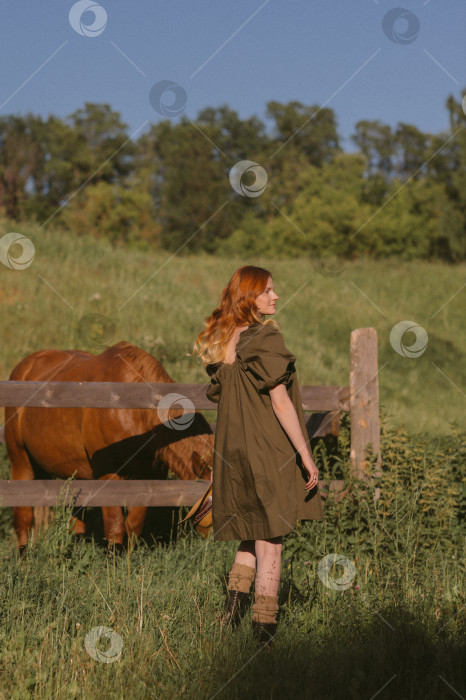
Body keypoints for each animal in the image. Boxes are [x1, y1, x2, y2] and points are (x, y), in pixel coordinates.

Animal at [3, 342, 214, 556]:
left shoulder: (148, 479)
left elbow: (134, 526)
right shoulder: (108, 477)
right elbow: (115, 525)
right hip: (21, 462)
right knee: (23, 516)